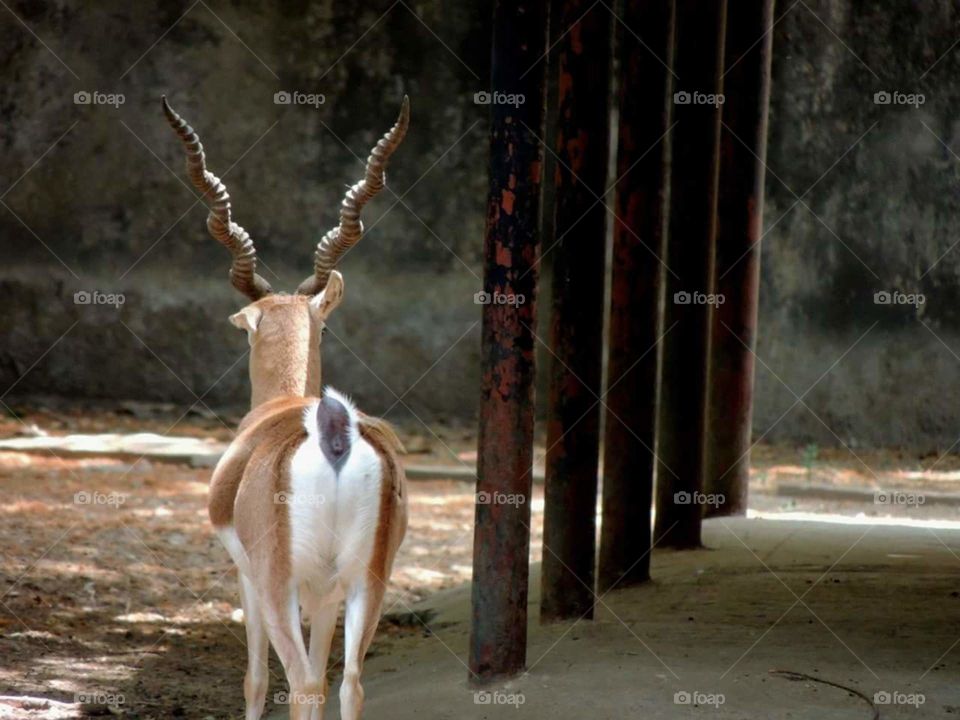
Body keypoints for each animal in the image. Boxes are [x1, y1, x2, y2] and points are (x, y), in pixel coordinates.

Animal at [163, 96, 409, 720]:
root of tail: (334, 435)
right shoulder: (326, 594)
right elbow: (328, 677)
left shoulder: (250, 577)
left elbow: (254, 679)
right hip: (367, 581)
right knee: (348, 684)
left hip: (281, 585)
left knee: (298, 684)